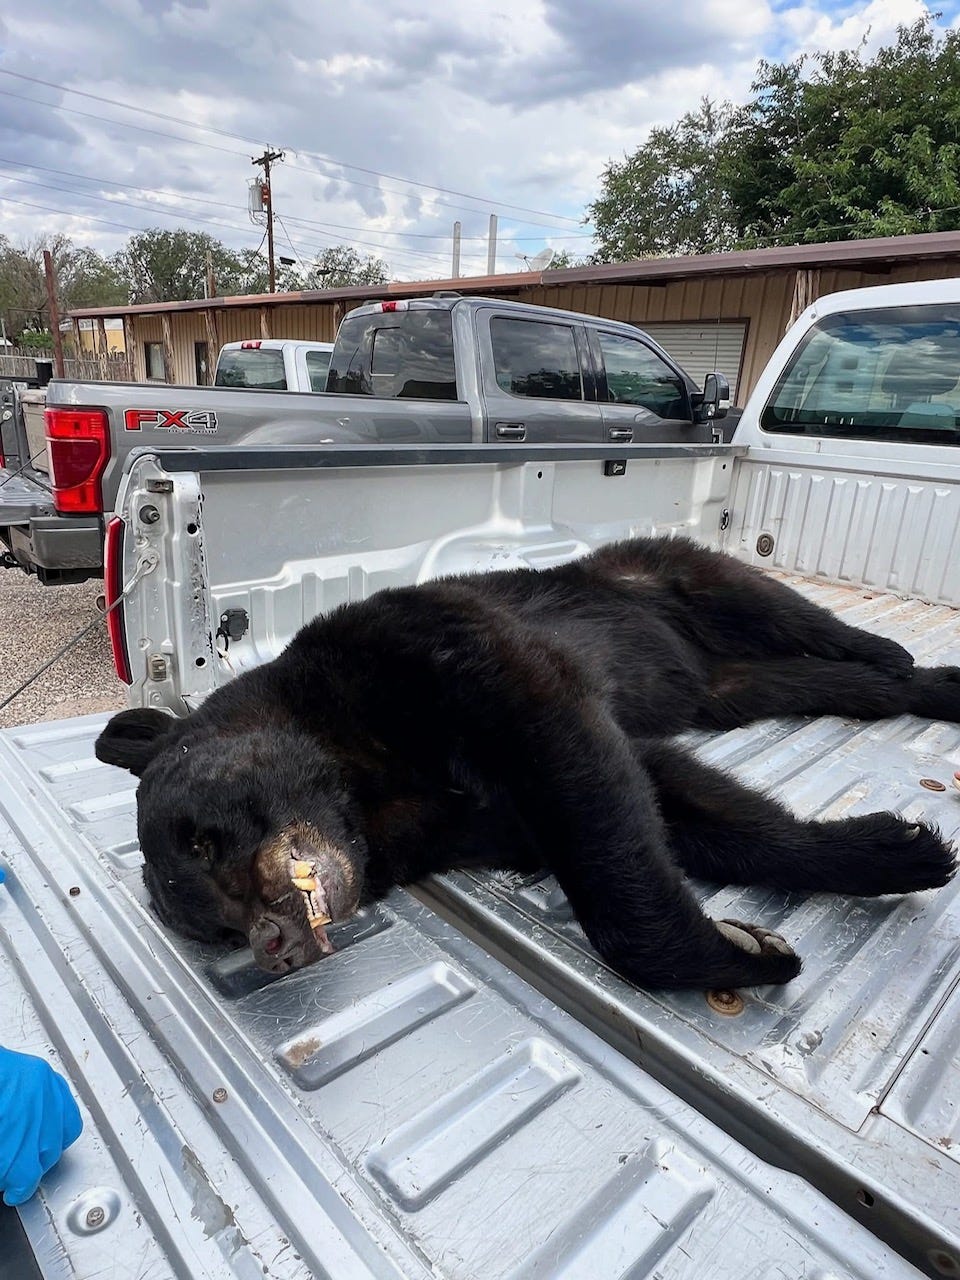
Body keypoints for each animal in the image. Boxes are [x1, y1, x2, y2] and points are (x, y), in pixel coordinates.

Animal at [95, 536, 959, 991]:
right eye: (219, 932)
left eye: (202, 839)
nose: (275, 945)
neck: (359, 782)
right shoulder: (458, 820)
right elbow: (670, 799)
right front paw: (879, 854)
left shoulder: (448, 658)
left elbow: (582, 785)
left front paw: (726, 948)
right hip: (731, 689)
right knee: (825, 685)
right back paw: (933, 686)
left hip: (674, 579)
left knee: (784, 611)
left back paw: (886, 647)